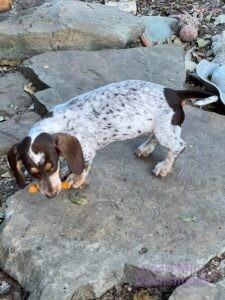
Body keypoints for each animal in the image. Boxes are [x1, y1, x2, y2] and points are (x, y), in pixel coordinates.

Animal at [7, 79, 218, 198]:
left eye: (50, 167)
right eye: (33, 173)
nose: (51, 195)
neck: (56, 123)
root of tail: (172, 93)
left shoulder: (87, 149)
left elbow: (83, 167)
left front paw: (76, 179)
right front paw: (66, 169)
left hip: (166, 131)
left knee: (178, 146)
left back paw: (164, 167)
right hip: (159, 128)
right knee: (155, 138)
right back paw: (145, 148)